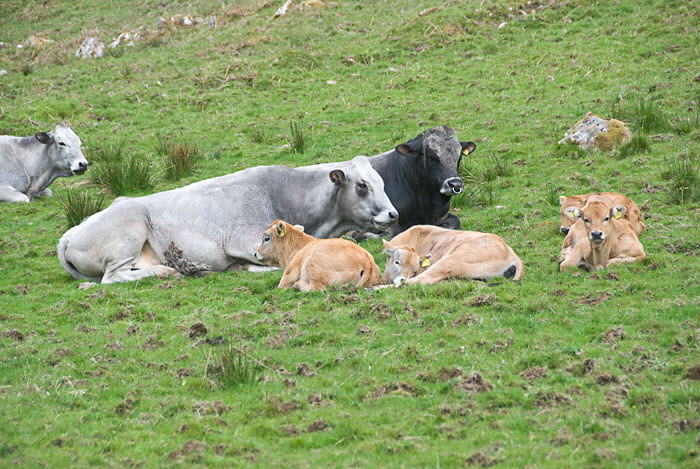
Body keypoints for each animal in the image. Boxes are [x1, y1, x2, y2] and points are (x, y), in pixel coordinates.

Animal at [57, 156, 397, 284]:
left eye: (381, 182)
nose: (393, 214)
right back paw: (170, 271)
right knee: (113, 277)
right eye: (362, 185)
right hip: (130, 226)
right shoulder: (244, 241)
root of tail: (70, 233)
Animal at [381, 225, 523, 286]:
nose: (402, 278)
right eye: (397, 262)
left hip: (449, 261)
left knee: (422, 280)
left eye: (414, 270)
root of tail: (510, 252)